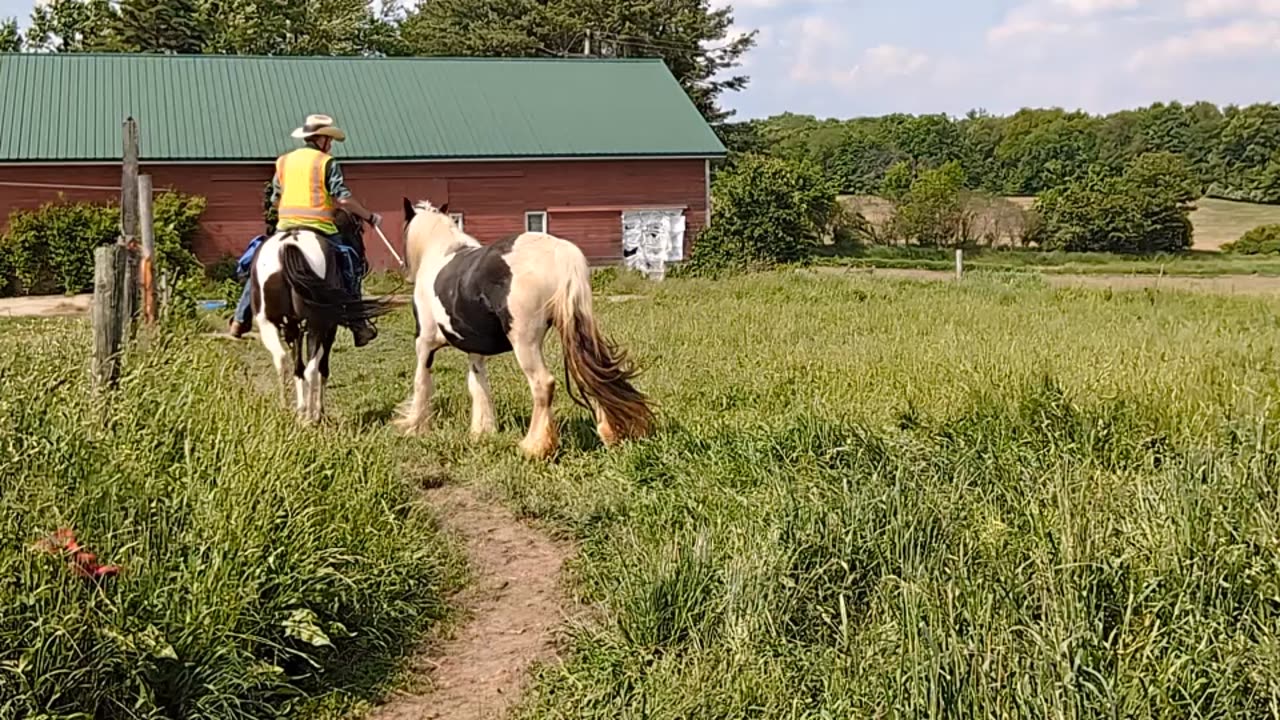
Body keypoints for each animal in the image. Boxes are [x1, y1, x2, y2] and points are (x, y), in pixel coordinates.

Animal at [247, 207, 389, 420]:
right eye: (360, 230)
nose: (365, 265)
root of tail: (288, 245)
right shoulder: (329, 329)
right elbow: (323, 367)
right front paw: (317, 411)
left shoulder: (294, 328)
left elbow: (297, 367)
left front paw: (300, 408)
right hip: (317, 324)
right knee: (312, 369)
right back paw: (310, 417)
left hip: (268, 323)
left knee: (282, 360)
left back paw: (286, 409)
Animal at [394, 197, 655, 453]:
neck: (439, 254)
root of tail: (559, 253)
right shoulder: (475, 351)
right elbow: (478, 386)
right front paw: (482, 432)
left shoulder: (424, 343)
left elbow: (421, 382)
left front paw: (414, 427)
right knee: (598, 376)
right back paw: (612, 433)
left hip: (525, 343)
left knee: (543, 384)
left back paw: (534, 447)